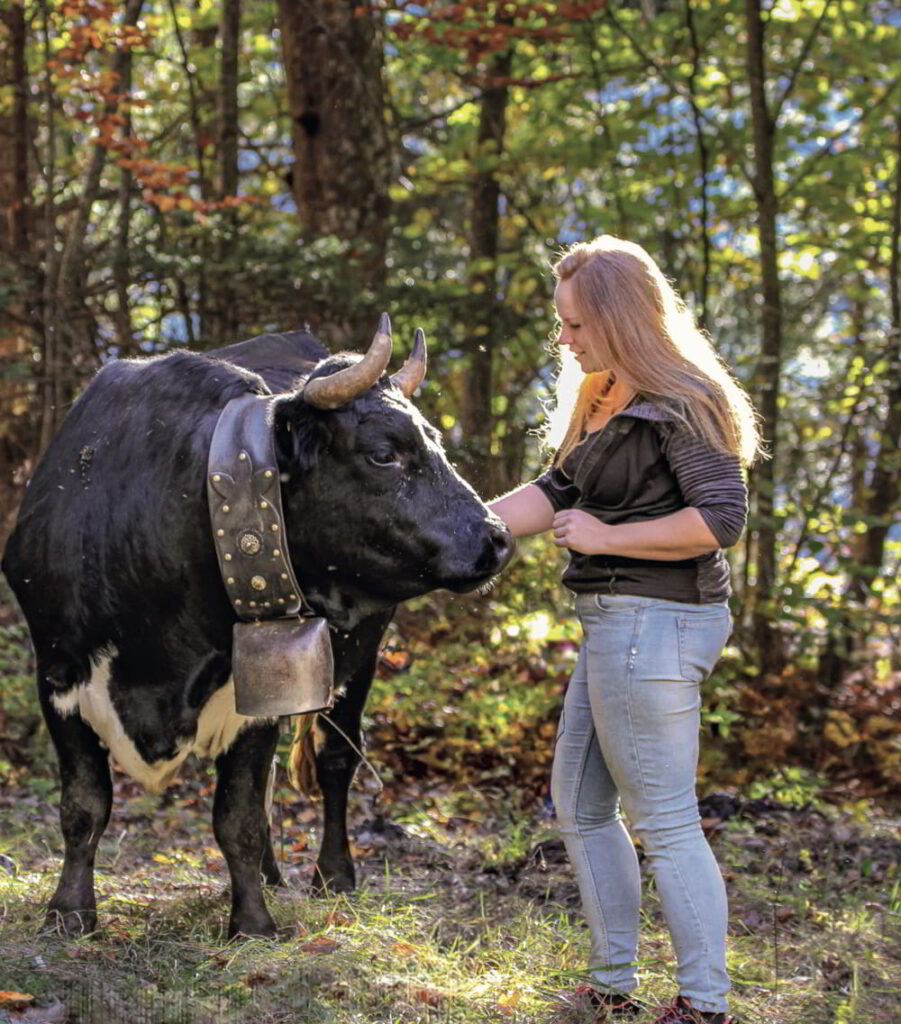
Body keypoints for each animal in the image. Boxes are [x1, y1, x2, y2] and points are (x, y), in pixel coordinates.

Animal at [1, 316, 514, 939]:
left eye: (434, 441)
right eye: (383, 453)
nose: (497, 537)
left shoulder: (259, 694)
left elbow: (237, 815)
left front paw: (251, 923)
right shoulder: (57, 672)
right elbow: (84, 804)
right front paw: (70, 912)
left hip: (361, 648)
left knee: (335, 759)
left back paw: (332, 876)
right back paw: (272, 874)